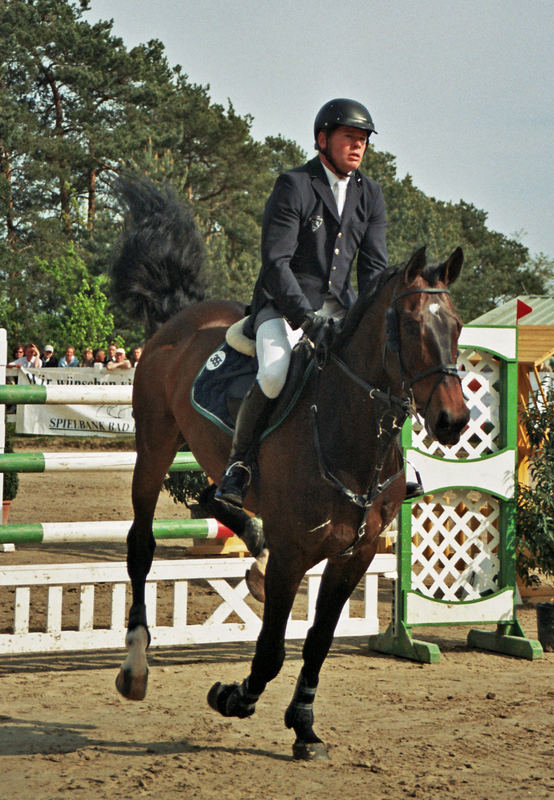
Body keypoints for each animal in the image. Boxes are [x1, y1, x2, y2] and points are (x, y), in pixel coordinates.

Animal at [111, 178, 466, 760]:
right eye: (413, 326)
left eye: (456, 326)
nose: (453, 422)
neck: (347, 432)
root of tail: (182, 318)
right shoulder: (295, 555)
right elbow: (274, 649)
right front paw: (233, 697)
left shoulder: (355, 555)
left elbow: (318, 643)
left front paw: (304, 726)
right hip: (156, 443)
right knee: (141, 544)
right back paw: (135, 666)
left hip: (209, 456)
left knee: (215, 497)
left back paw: (251, 540)